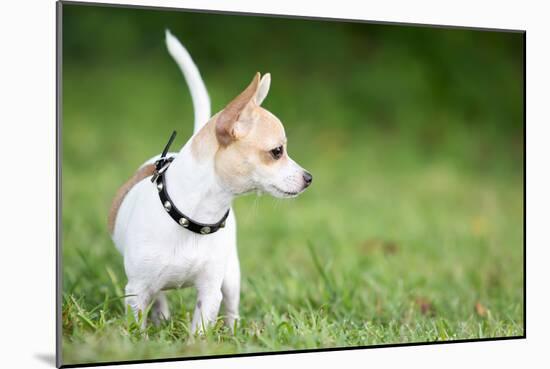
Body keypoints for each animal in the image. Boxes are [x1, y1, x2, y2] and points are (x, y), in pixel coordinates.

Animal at [108, 30, 314, 332]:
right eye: (277, 152)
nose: (309, 178)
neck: (191, 217)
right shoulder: (137, 291)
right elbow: (137, 326)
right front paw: (140, 340)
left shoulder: (209, 292)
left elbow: (200, 330)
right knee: (160, 297)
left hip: (231, 276)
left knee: (231, 307)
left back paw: (232, 331)